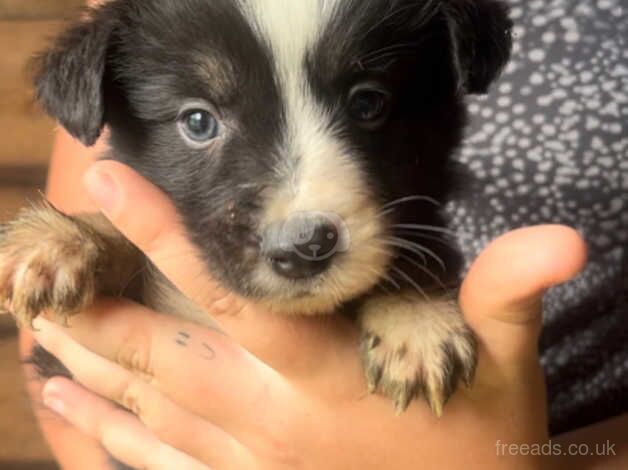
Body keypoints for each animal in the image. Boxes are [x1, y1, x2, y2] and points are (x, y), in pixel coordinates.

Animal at [0, 0, 512, 418]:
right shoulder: (72, 366)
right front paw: (60, 240)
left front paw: (417, 320)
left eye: (368, 102)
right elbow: (129, 239)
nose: (306, 246)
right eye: (198, 121)